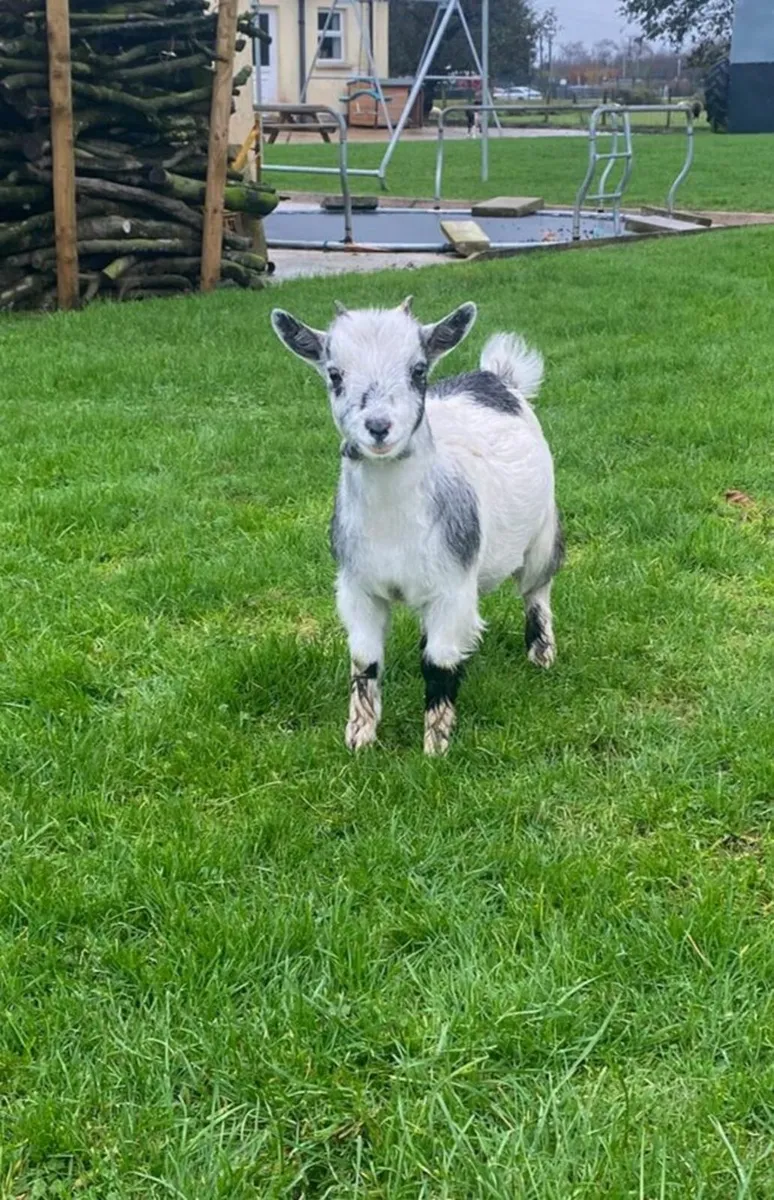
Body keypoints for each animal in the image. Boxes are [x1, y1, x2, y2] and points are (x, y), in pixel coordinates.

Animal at [270, 298, 563, 755]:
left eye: (418, 370)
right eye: (334, 374)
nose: (378, 427)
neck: (392, 527)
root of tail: (497, 376)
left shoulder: (452, 589)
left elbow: (438, 664)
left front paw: (436, 747)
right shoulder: (357, 588)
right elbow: (365, 661)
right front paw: (360, 739)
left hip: (543, 531)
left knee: (536, 590)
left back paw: (541, 654)